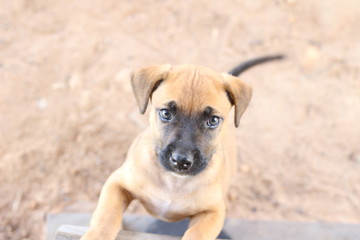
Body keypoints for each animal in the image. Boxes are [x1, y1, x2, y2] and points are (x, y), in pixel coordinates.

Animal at [81, 54, 284, 240]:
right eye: (165, 113)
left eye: (213, 120)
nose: (181, 161)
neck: (174, 182)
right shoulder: (116, 184)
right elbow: (107, 216)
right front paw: (97, 235)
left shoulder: (213, 212)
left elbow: (197, 234)